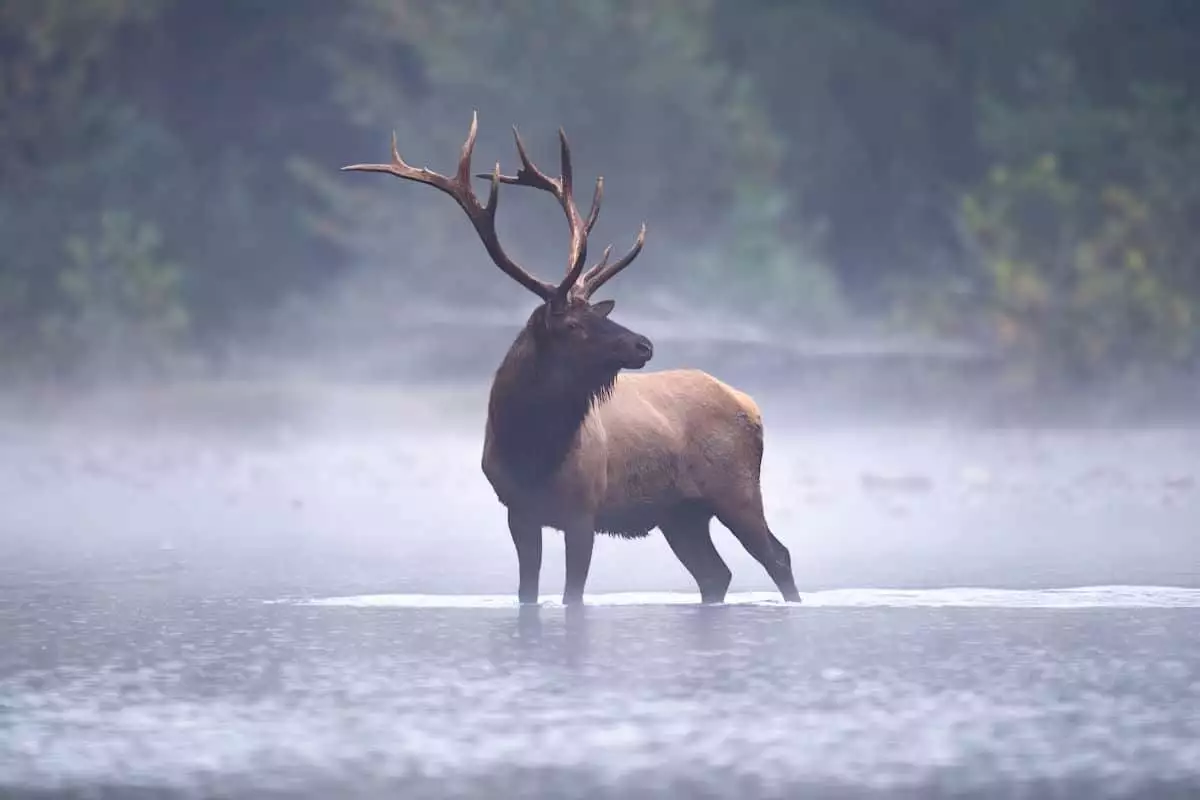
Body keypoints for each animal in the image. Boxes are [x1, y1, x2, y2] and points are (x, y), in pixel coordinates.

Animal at [342, 113, 801, 607]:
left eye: (597, 315)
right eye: (574, 325)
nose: (645, 344)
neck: (530, 449)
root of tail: (750, 405)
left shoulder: (584, 511)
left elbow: (572, 595)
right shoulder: (518, 512)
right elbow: (527, 591)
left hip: (736, 489)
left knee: (778, 555)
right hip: (680, 513)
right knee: (715, 574)